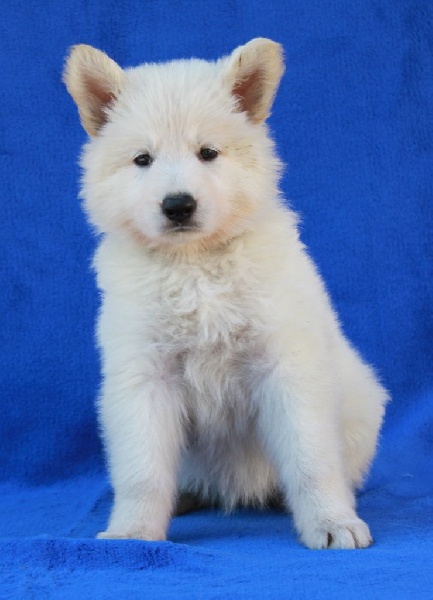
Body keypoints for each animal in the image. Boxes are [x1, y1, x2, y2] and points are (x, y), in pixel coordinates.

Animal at [63, 38, 388, 549]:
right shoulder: (145, 376)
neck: (194, 265)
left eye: (208, 152)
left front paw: (332, 522)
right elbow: (143, 472)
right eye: (142, 160)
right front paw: (133, 534)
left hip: (362, 405)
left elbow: (312, 459)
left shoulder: (286, 368)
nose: (178, 205)